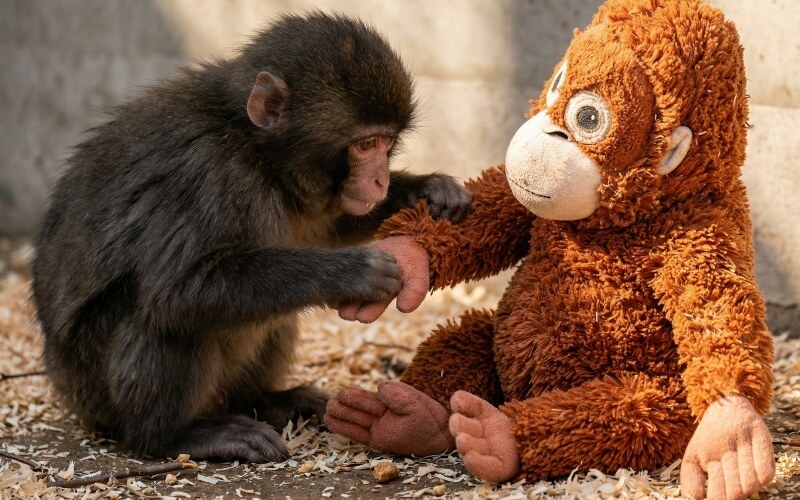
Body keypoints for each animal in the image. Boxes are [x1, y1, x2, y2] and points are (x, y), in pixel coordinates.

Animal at [31, 12, 472, 463]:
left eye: (387, 143)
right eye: (365, 144)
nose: (381, 179)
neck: (254, 148)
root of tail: (64, 387)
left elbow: (329, 224)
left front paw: (430, 189)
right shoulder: (208, 172)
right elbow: (179, 288)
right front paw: (354, 272)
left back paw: (264, 399)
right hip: (93, 388)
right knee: (160, 316)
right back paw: (174, 436)